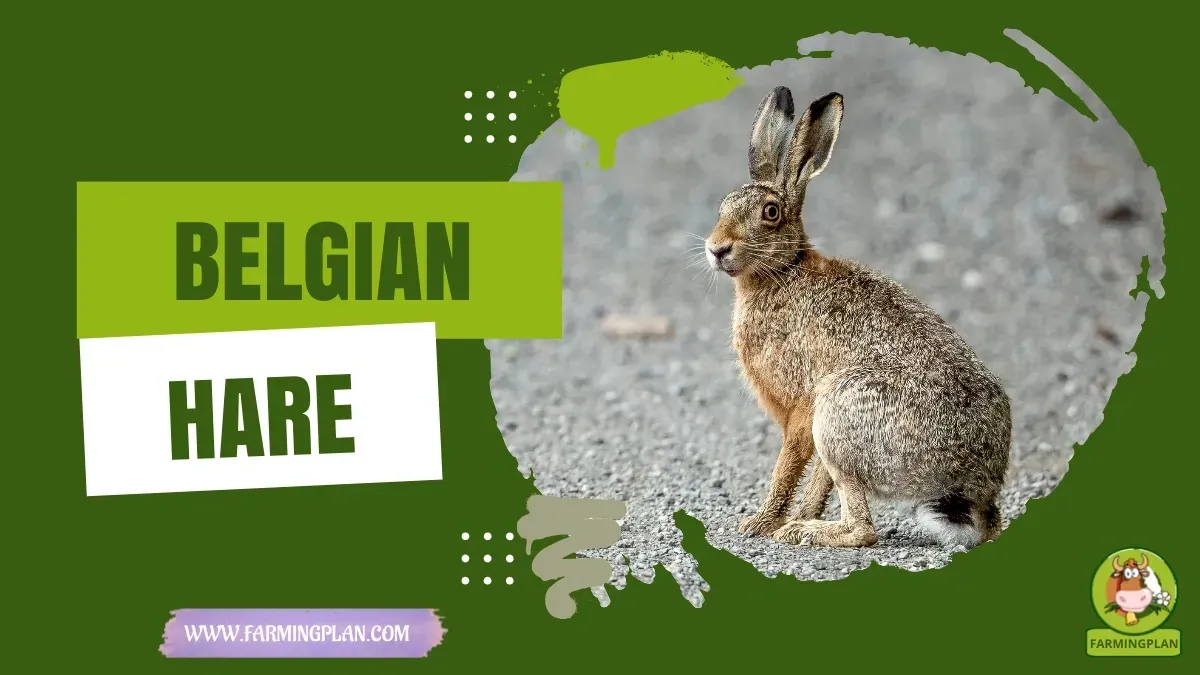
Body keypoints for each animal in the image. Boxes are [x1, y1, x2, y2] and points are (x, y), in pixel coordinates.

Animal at [704, 87, 1012, 548]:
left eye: (770, 212)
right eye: (723, 205)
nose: (716, 248)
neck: (783, 270)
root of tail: (979, 484)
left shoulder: (804, 407)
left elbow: (789, 464)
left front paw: (761, 524)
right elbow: (817, 480)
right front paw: (796, 514)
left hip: (841, 412)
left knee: (864, 531)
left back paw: (803, 532)